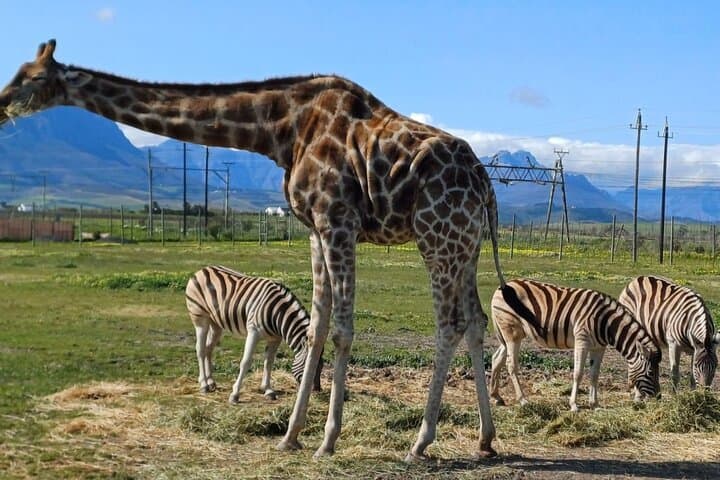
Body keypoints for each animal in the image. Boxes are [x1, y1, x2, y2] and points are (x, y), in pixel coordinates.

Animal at [0, 39, 506, 461]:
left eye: (33, 77)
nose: (2, 104)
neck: (280, 130)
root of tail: (485, 183)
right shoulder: (314, 229)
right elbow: (317, 325)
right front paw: (290, 434)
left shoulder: (337, 220)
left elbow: (342, 330)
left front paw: (328, 439)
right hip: (466, 246)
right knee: (476, 321)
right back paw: (485, 438)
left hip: (435, 237)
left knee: (449, 324)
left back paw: (420, 442)